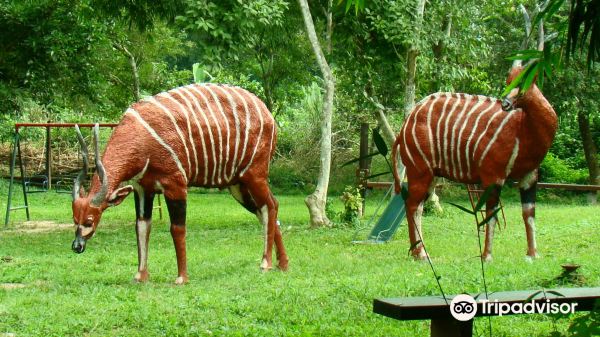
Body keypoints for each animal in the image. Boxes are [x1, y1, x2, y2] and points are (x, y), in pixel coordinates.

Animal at [72, 82, 288, 282]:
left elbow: (177, 228)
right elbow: (141, 225)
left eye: (90, 220)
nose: (76, 246)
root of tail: (268, 114)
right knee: (268, 207)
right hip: (238, 185)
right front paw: (140, 276)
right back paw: (283, 264)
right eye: (74, 219)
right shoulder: (142, 189)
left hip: (255, 176)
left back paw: (266, 264)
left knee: (269, 206)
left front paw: (182, 278)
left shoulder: (175, 185)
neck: (141, 137)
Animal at [394, 30, 556, 262]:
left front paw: (533, 255)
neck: (523, 128)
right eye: (509, 79)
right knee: (412, 205)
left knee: (417, 206)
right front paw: (486, 256)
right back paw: (421, 255)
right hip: (419, 172)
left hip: (432, 175)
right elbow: (490, 215)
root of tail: (405, 125)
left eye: (524, 79)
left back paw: (420, 252)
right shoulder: (492, 177)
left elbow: (529, 214)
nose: (505, 103)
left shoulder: (529, 177)